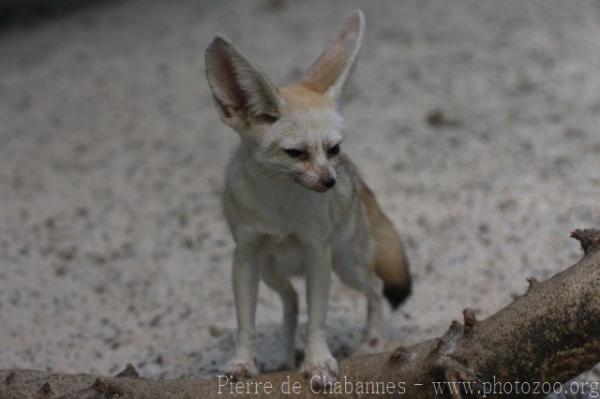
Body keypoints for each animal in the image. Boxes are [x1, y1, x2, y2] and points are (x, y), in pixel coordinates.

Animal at [204, 8, 410, 384]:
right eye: (295, 153)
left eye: (333, 149)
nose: (330, 181)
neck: (279, 206)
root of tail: (357, 179)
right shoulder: (244, 255)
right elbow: (246, 320)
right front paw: (242, 362)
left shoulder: (318, 253)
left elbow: (318, 318)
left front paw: (318, 362)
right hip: (271, 271)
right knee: (291, 302)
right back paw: (285, 356)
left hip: (347, 265)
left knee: (374, 287)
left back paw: (372, 342)